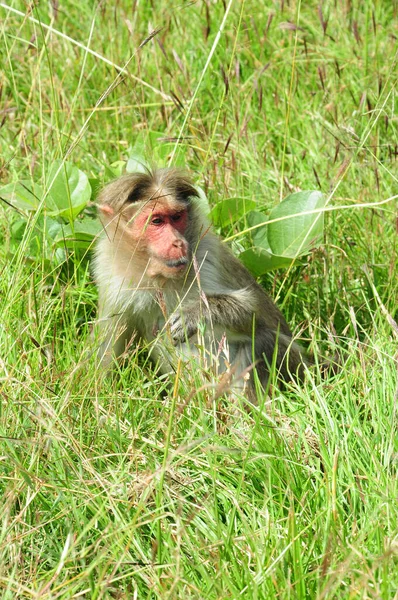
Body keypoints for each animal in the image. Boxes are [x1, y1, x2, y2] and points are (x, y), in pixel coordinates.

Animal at [94, 166, 308, 400]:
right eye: (156, 221)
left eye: (177, 217)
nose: (178, 242)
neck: (159, 279)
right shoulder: (110, 277)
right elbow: (105, 351)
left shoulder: (208, 257)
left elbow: (259, 314)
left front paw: (196, 314)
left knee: (263, 340)